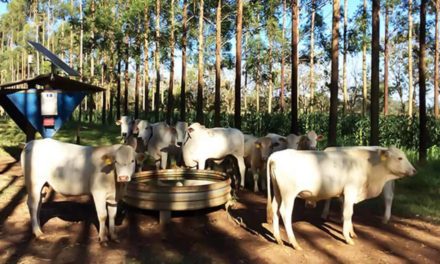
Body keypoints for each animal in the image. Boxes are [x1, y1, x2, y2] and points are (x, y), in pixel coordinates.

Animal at [264, 145, 416, 251]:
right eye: (400, 158)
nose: (414, 170)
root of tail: (276, 156)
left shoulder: (346, 194)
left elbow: (348, 214)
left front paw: (351, 232)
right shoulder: (350, 190)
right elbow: (348, 213)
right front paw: (347, 238)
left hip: (278, 192)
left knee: (275, 209)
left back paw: (278, 239)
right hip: (289, 194)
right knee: (285, 213)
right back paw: (294, 243)